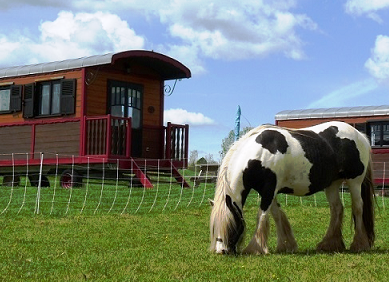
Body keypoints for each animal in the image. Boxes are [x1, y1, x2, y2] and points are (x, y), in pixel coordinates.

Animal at [209, 121, 372, 256]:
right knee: (337, 209)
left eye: (230, 225)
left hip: (354, 182)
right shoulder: (270, 192)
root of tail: (361, 136)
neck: (259, 154)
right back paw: (330, 244)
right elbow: (276, 215)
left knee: (358, 207)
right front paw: (286, 245)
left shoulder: (268, 191)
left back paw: (359, 244)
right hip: (332, 184)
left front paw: (255, 248)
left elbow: (261, 216)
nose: (221, 251)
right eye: (214, 227)